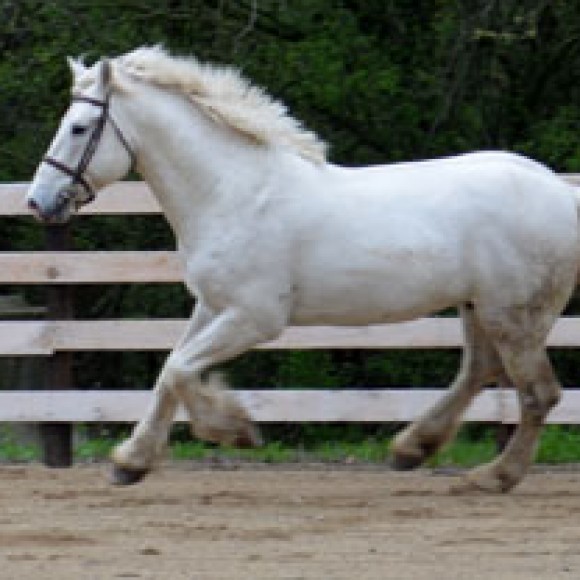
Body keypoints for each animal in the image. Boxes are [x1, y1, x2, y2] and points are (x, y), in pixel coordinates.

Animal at [27, 46, 580, 490]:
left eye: (78, 128)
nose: (38, 202)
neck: (233, 192)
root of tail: (561, 191)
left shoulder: (255, 318)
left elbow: (180, 369)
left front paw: (235, 430)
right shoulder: (213, 306)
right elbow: (170, 371)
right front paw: (131, 462)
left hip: (514, 314)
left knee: (537, 395)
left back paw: (494, 477)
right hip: (479, 306)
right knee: (480, 371)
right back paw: (413, 449)